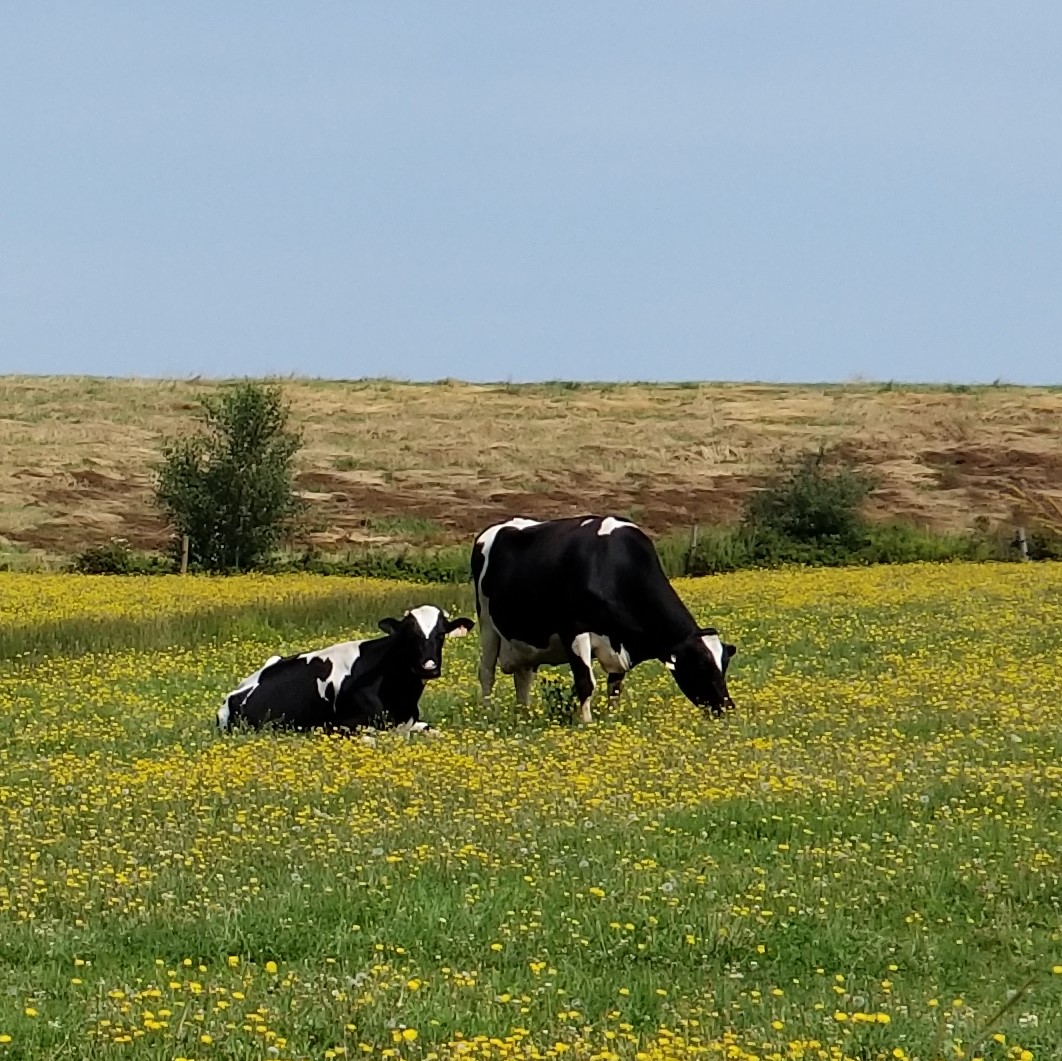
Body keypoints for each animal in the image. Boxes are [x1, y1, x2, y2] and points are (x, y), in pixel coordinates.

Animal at [471, 516, 736, 724]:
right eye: (700, 666)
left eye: (724, 665)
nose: (727, 707)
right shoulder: (574, 630)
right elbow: (585, 682)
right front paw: (587, 722)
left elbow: (615, 686)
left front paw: (611, 718)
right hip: (487, 624)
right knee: (486, 672)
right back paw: (487, 712)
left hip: (524, 641)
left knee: (523, 677)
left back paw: (524, 714)